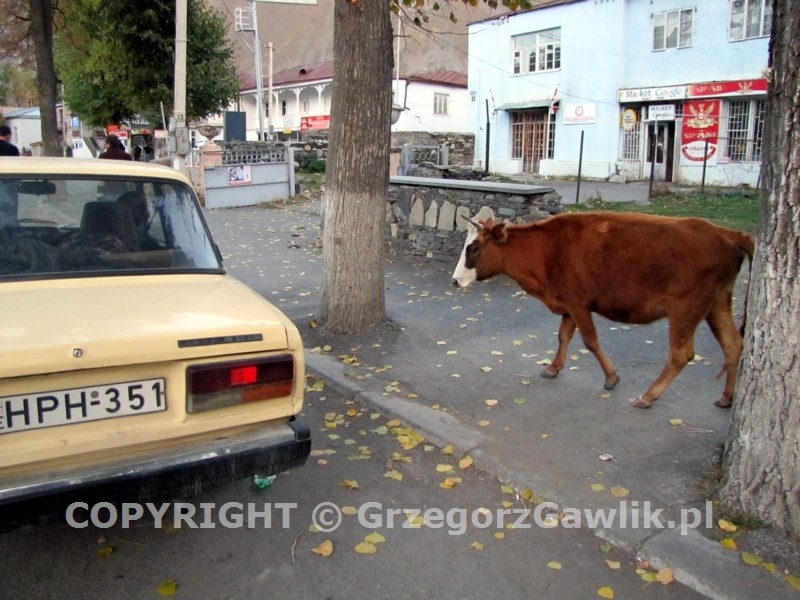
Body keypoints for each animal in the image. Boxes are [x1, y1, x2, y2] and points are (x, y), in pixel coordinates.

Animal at [454, 211, 752, 408]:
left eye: (474, 248)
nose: (455, 280)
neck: (546, 250)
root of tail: (725, 233)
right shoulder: (568, 304)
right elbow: (564, 335)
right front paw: (553, 367)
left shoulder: (578, 303)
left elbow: (590, 340)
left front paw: (611, 377)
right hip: (717, 304)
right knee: (733, 345)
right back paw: (726, 397)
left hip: (685, 308)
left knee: (681, 354)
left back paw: (648, 396)